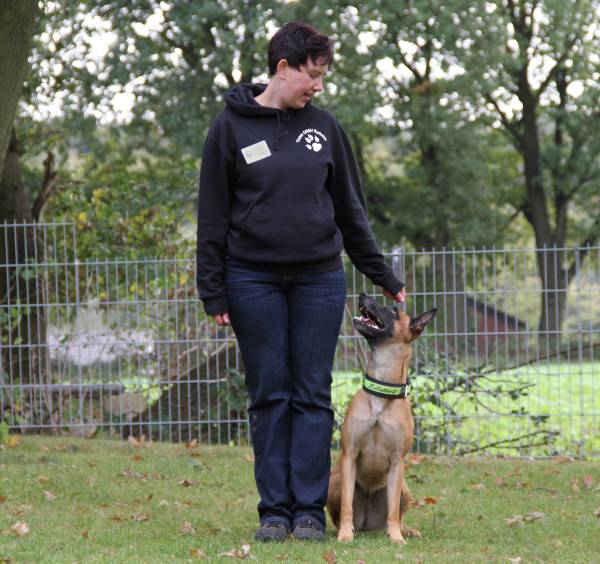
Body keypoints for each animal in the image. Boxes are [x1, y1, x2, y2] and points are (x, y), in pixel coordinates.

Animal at [327, 293, 436, 544]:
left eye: (394, 310)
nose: (363, 295)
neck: (382, 393)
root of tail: (367, 525)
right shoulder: (349, 456)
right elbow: (346, 506)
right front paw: (345, 534)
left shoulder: (397, 462)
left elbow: (393, 511)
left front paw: (396, 537)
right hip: (335, 482)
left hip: (404, 487)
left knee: (395, 512)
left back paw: (406, 530)